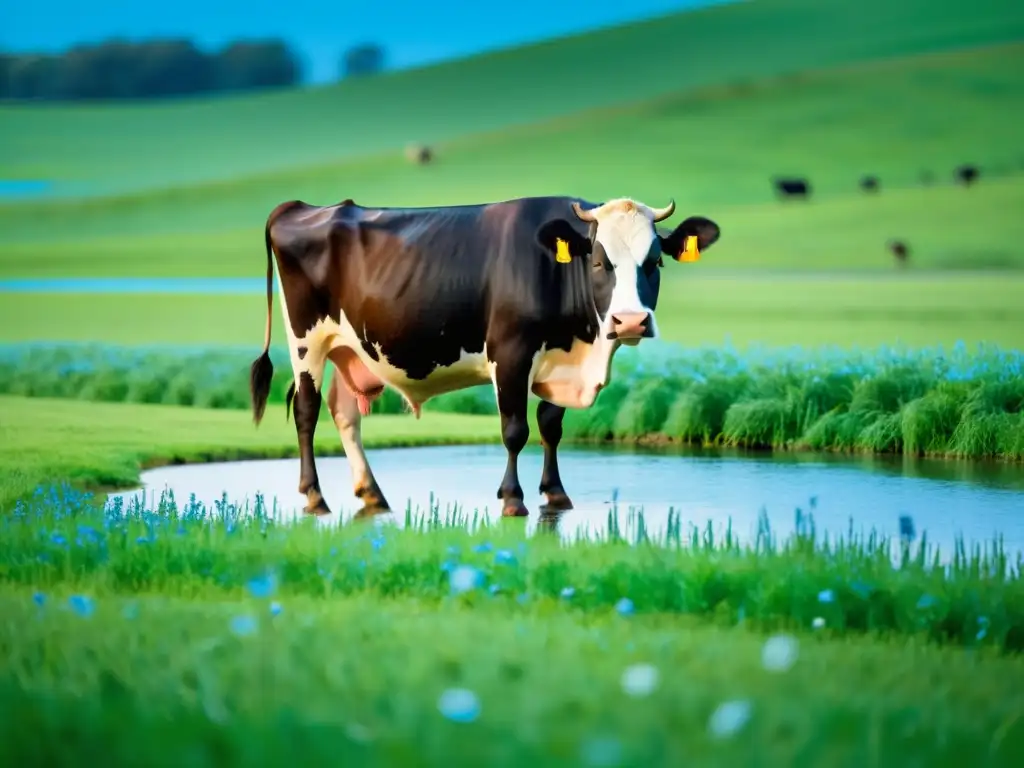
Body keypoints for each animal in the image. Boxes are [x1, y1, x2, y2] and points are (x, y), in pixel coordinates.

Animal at [248, 193, 724, 518]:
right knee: (307, 411)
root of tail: (302, 206)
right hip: (306, 340)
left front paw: (555, 493)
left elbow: (550, 426)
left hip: (350, 349)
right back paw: (315, 496)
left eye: (655, 262)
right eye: (598, 262)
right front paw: (512, 498)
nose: (630, 322)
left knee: (345, 413)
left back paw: (372, 493)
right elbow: (515, 430)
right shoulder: (511, 354)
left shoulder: (557, 361)